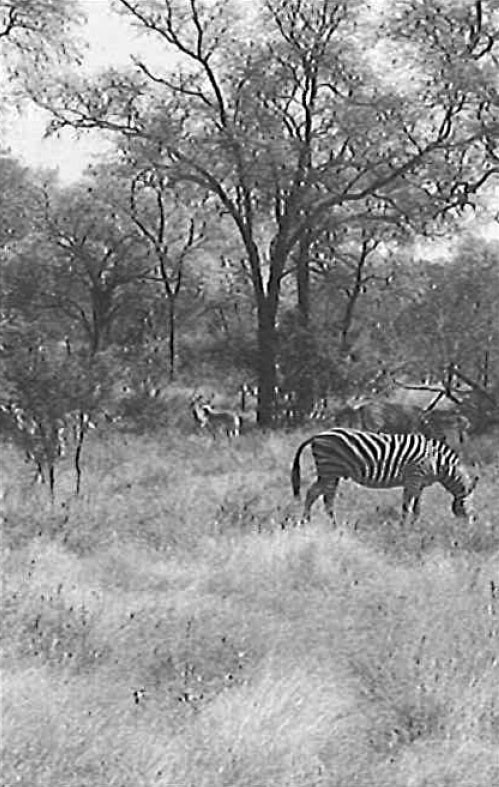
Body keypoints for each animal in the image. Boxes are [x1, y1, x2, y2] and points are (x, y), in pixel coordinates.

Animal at [292, 428, 478, 528]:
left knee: (312, 493)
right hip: (330, 469)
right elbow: (407, 507)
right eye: (469, 507)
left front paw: (413, 526)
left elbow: (416, 508)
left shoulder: (420, 484)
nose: (469, 528)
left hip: (329, 472)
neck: (438, 462)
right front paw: (403, 528)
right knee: (326, 499)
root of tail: (318, 435)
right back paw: (332, 525)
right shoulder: (413, 478)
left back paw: (306, 521)